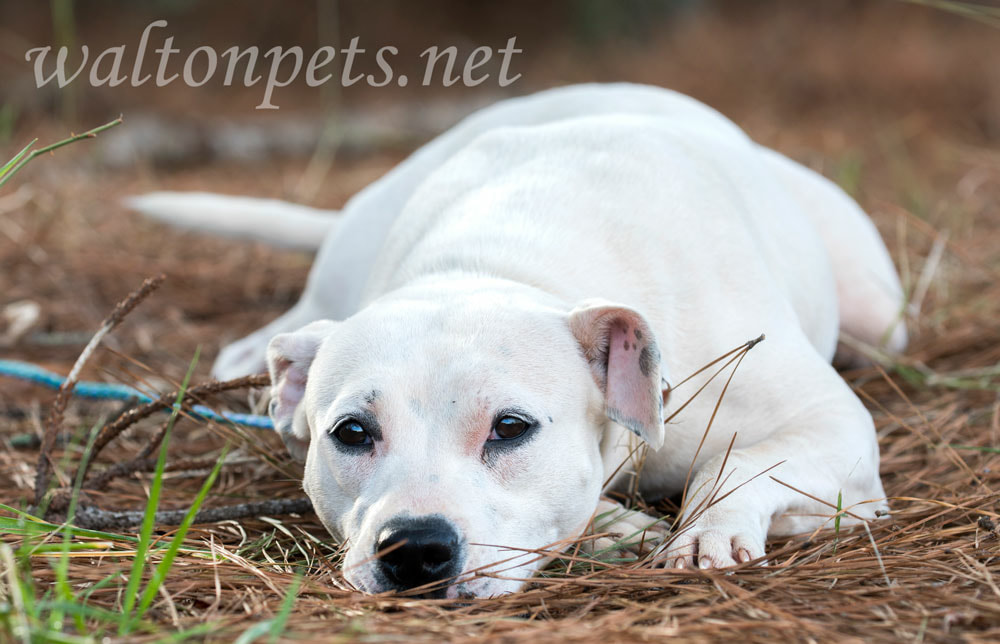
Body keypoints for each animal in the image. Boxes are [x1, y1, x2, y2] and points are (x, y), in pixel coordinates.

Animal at [131, 84, 908, 600]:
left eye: (511, 428)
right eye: (351, 432)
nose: (414, 547)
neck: (494, 260)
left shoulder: (831, 423)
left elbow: (738, 461)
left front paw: (705, 531)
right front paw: (615, 525)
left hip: (880, 314)